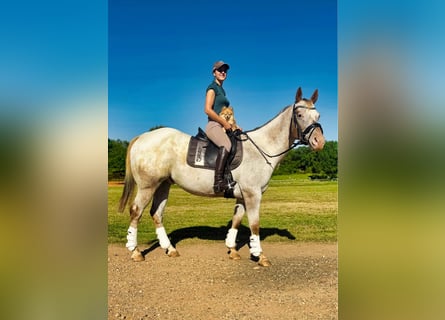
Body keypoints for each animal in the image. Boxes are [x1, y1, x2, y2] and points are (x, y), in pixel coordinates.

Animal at [118, 86, 326, 266]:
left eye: (318, 116)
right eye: (300, 115)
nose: (320, 142)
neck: (261, 148)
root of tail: (142, 137)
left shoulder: (243, 195)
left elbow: (237, 220)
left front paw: (232, 250)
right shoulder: (253, 194)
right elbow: (255, 224)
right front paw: (260, 255)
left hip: (163, 185)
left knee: (157, 213)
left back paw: (170, 249)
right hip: (148, 186)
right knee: (136, 211)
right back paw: (135, 251)